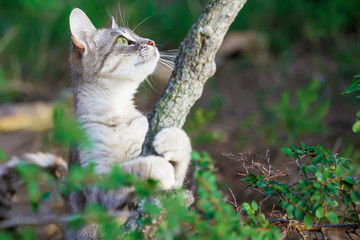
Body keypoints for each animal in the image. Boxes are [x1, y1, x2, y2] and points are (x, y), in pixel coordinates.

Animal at [66, 7, 193, 240]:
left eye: (138, 35)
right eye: (123, 41)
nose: (152, 42)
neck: (117, 116)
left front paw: (174, 140)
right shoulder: (97, 190)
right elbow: (128, 170)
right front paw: (158, 167)